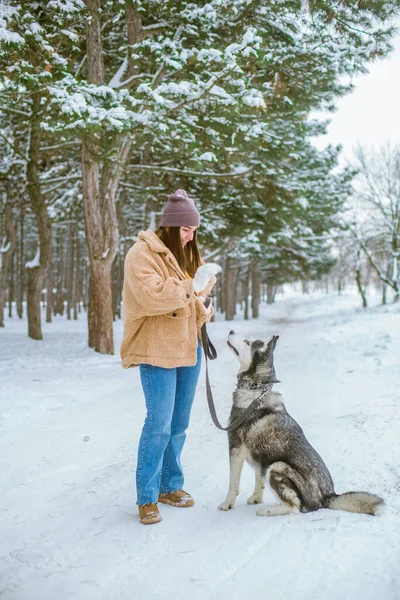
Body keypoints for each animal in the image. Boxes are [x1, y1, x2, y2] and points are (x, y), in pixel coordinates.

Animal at [219, 330, 384, 516]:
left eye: (247, 342)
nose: (231, 331)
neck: (256, 390)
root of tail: (328, 496)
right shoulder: (259, 458)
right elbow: (258, 480)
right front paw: (256, 498)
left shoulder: (236, 449)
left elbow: (233, 485)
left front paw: (227, 504)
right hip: (270, 466)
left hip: (276, 466)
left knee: (294, 507)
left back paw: (267, 510)